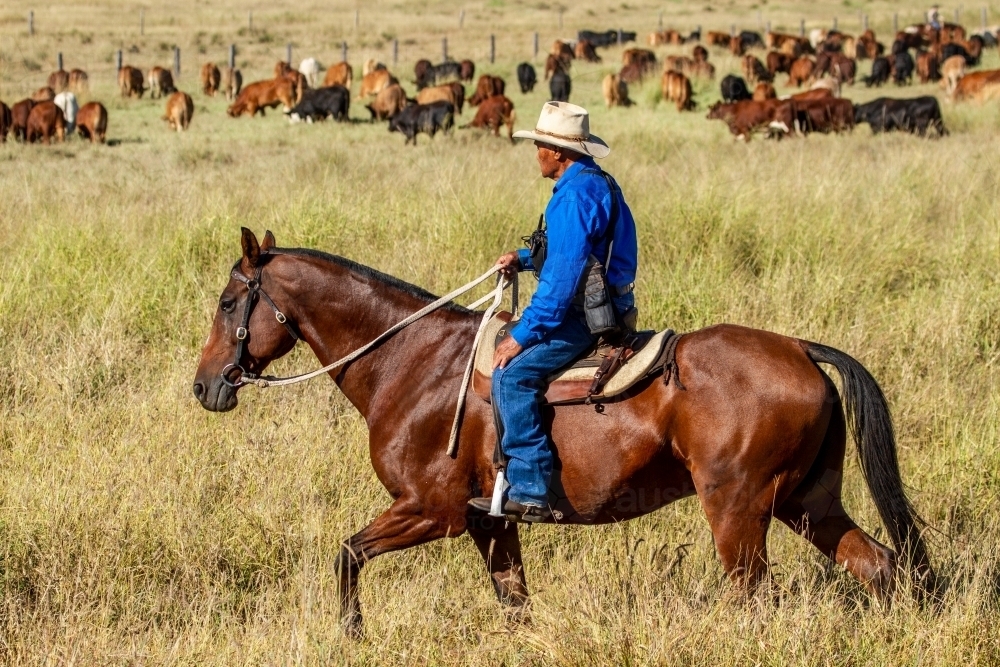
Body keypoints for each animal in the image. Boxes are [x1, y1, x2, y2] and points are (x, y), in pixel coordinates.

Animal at [191, 230, 932, 636]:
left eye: (228, 301)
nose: (204, 386)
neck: (412, 361)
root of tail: (802, 350)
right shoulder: (489, 521)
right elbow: (515, 602)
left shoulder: (431, 510)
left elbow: (347, 554)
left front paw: (352, 634)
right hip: (807, 501)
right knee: (880, 566)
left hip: (739, 509)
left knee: (756, 596)